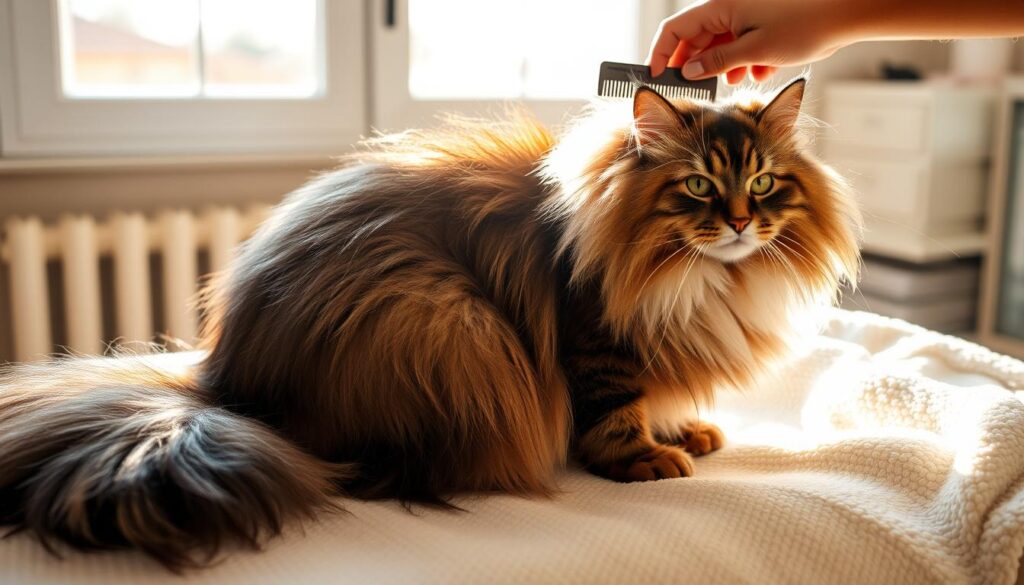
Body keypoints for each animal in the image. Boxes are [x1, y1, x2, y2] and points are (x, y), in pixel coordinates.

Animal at [0, 76, 860, 569]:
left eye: (765, 182)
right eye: (698, 187)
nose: (743, 220)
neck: (706, 278)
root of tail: (224, 385)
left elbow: (662, 397)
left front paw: (687, 429)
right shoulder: (596, 339)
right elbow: (614, 412)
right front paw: (646, 457)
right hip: (452, 321)